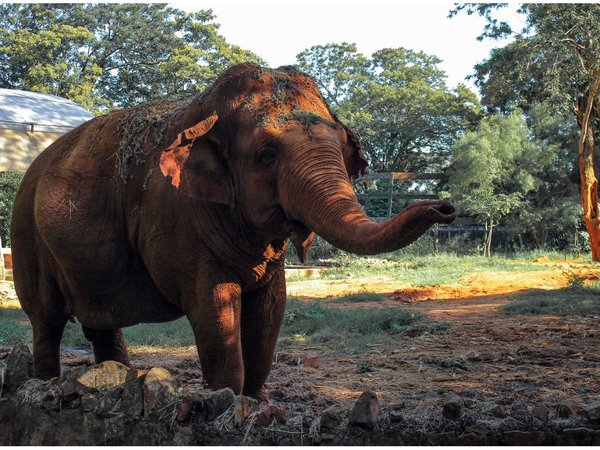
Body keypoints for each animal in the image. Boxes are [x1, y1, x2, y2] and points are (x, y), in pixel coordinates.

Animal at [10, 63, 454, 400]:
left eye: (343, 149)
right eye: (266, 155)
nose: (445, 207)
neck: (202, 113)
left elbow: (270, 310)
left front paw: (255, 403)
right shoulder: (174, 220)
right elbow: (213, 307)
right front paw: (225, 400)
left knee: (100, 323)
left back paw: (113, 379)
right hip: (27, 236)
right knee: (46, 318)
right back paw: (43, 385)